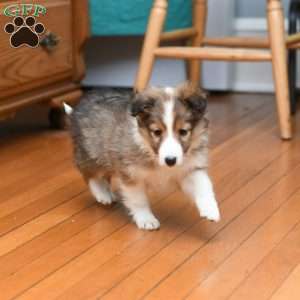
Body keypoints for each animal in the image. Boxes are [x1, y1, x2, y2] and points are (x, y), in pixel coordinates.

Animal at [65, 83, 220, 231]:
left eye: (183, 131)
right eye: (157, 132)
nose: (170, 161)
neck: (151, 151)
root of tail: (75, 110)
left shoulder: (189, 169)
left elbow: (203, 186)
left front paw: (211, 209)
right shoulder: (131, 174)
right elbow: (138, 200)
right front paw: (146, 220)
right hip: (92, 152)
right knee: (90, 174)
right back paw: (102, 194)